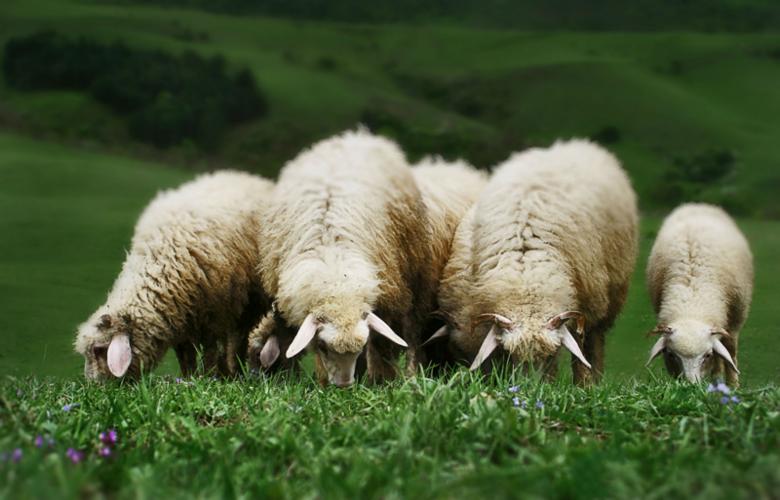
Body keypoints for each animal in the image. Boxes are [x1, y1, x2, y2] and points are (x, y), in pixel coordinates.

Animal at [74, 171, 274, 381]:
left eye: (98, 349)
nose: (93, 384)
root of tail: (245, 176)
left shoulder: (214, 316)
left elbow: (211, 351)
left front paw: (210, 377)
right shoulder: (180, 320)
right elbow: (186, 356)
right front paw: (189, 378)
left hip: (249, 301)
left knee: (237, 339)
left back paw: (234, 371)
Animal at [256, 129, 431, 387]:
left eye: (361, 347)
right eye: (322, 345)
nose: (343, 386)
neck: (335, 274)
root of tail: (357, 136)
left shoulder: (389, 296)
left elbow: (382, 346)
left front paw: (381, 381)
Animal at [434, 139, 638, 385]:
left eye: (551, 354)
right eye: (509, 354)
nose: (529, 388)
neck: (526, 280)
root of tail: (575, 145)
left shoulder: (586, 309)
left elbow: (581, 353)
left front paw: (581, 385)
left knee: (594, 343)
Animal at [645, 203, 753, 387]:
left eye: (707, 355)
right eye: (671, 355)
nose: (691, 386)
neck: (692, 301)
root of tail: (697, 205)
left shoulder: (733, 324)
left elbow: (730, 354)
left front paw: (733, 387)